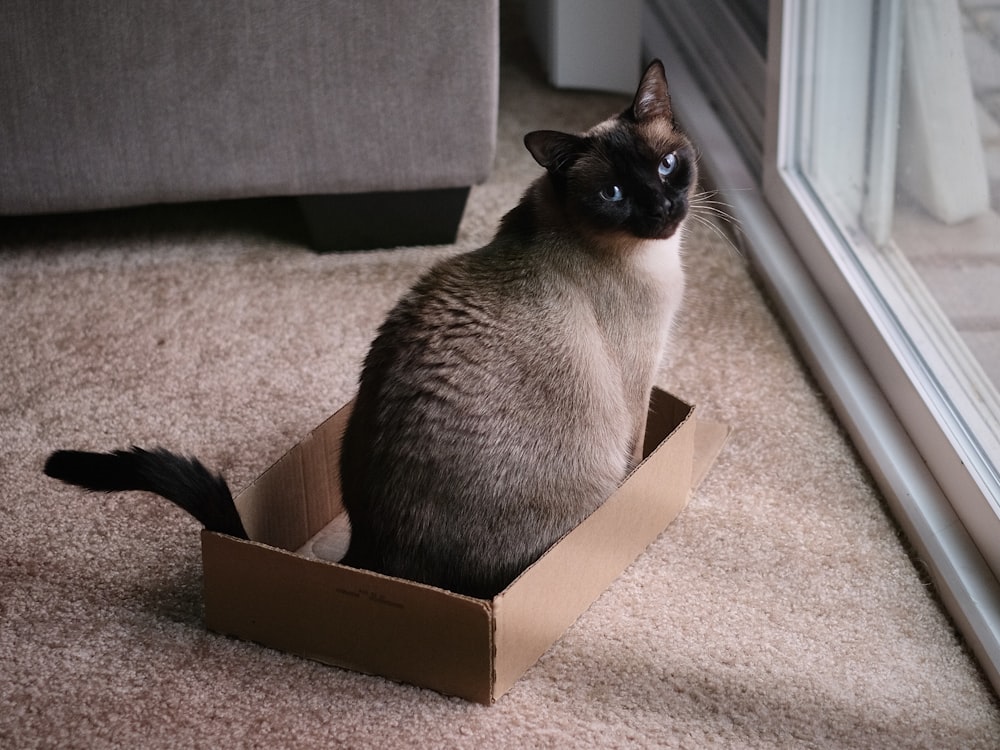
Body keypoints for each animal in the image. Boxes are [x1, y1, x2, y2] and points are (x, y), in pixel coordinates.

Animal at [43, 58, 700, 600]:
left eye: (667, 166)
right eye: (612, 192)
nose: (662, 209)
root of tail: (370, 556)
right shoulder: (637, 385)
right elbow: (637, 450)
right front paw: (639, 480)